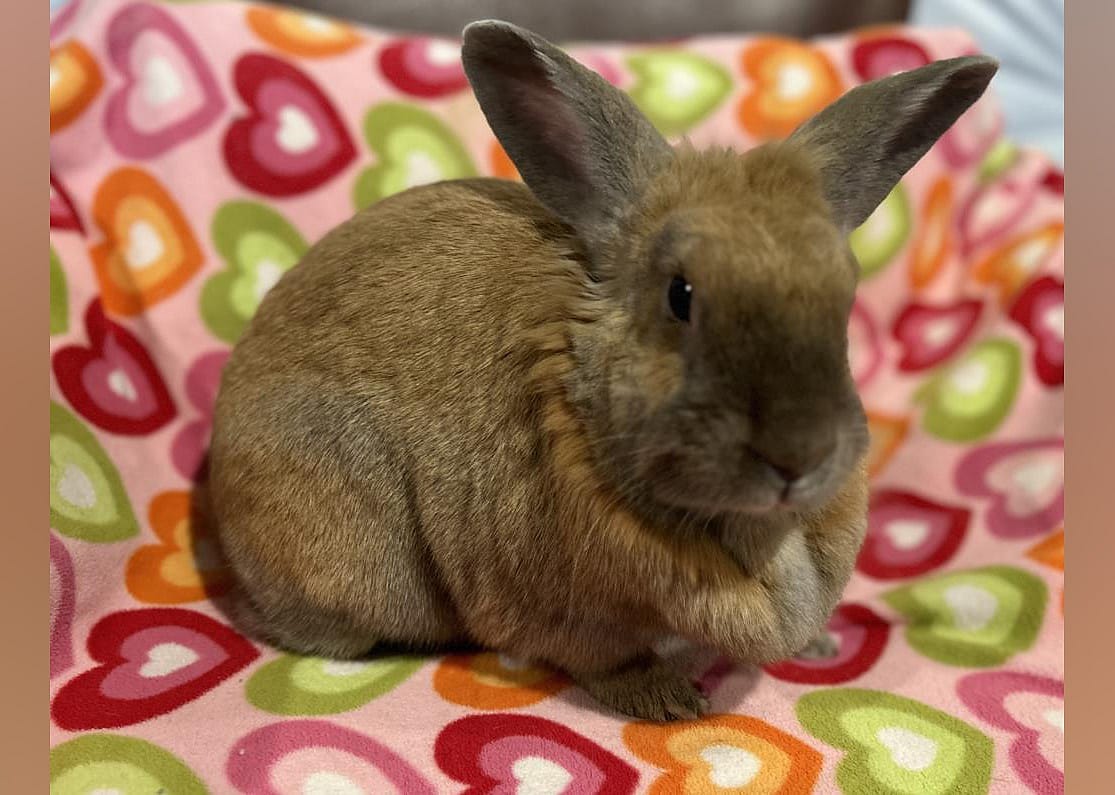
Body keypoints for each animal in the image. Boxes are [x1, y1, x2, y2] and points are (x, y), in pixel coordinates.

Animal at [208, 20, 997, 721]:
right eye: (680, 295)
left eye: (845, 296)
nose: (796, 458)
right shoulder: (569, 616)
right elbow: (607, 659)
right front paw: (670, 702)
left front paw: (820, 644)